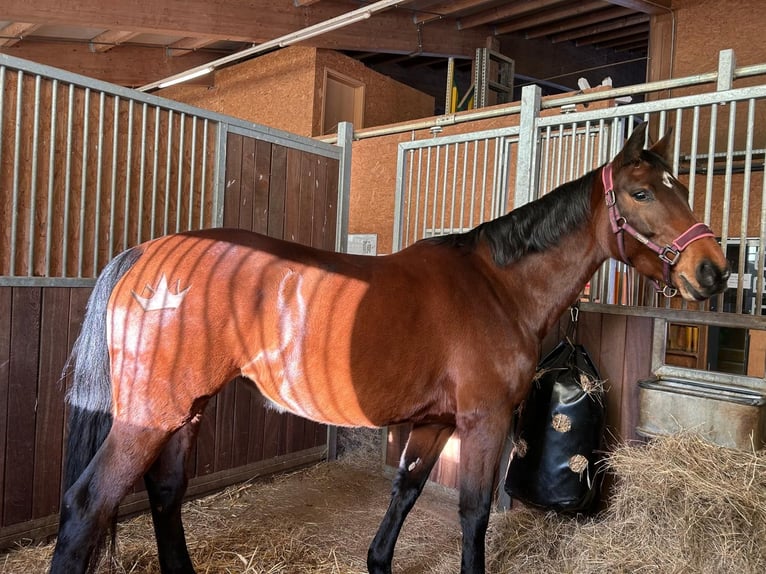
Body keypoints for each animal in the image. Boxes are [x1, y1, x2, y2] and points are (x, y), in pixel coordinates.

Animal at [51, 124, 728, 572]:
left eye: (682, 188)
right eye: (642, 194)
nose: (713, 271)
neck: (497, 285)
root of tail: (148, 253)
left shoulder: (434, 424)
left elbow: (404, 492)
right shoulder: (483, 423)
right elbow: (474, 514)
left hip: (184, 412)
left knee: (166, 493)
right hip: (149, 415)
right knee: (87, 505)